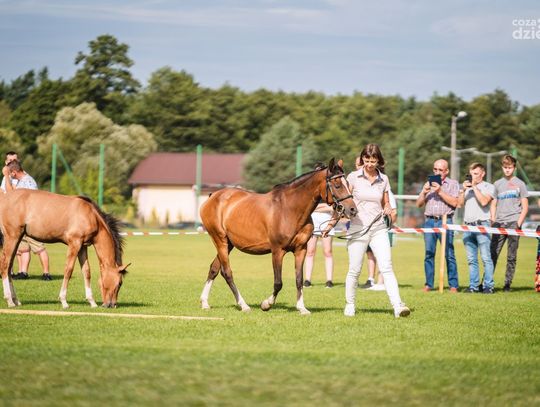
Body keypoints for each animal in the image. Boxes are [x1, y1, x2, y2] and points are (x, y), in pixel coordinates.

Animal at [0, 189, 129, 308]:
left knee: (9, 266)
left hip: (18, 238)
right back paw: (10, 300)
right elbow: (68, 270)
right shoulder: (74, 244)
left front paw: (91, 302)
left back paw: (16, 300)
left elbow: (86, 271)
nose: (112, 305)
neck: (91, 216)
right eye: (119, 283)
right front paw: (64, 301)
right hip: (12, 237)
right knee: (5, 265)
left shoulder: (82, 247)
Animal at [200, 158, 357, 315]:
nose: (352, 210)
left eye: (348, 184)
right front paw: (266, 304)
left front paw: (302, 308)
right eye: (337, 185)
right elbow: (278, 282)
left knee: (214, 269)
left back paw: (205, 302)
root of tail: (213, 196)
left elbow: (299, 279)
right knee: (227, 272)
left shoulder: (301, 250)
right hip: (220, 240)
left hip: (228, 244)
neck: (290, 209)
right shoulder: (277, 251)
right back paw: (243, 305)